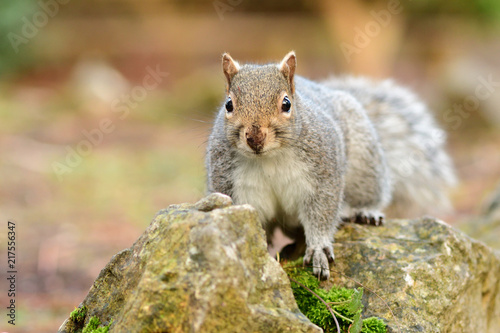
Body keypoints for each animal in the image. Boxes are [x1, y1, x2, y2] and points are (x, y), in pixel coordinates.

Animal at [204, 50, 458, 278]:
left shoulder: (323, 173)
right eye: (228, 105)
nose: (255, 138)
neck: (268, 158)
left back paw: (364, 212)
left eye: (286, 104)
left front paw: (318, 250)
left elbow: (322, 212)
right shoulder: (232, 185)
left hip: (364, 164)